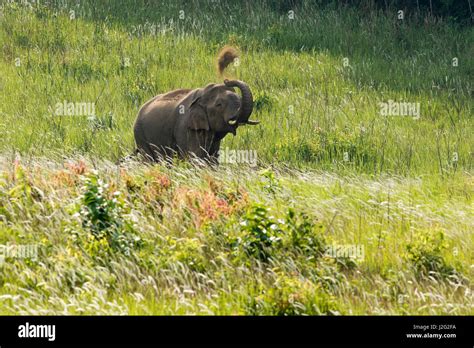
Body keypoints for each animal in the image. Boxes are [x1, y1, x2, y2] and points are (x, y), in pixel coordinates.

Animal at [132, 79, 260, 163]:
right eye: (219, 105)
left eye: (240, 99)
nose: (226, 80)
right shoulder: (186, 128)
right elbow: (195, 157)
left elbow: (213, 157)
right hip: (140, 135)